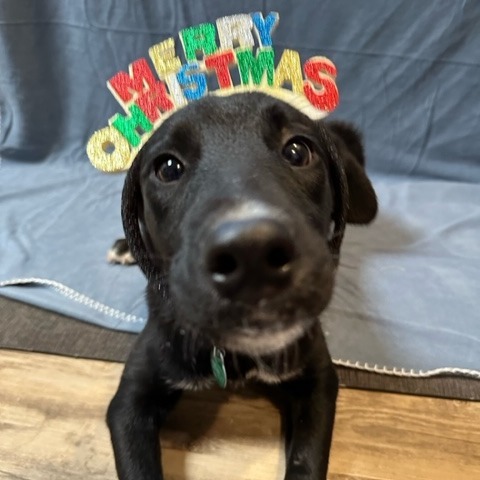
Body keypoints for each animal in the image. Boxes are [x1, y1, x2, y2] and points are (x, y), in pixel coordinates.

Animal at [107, 91, 376, 480]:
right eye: (168, 167)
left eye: (298, 150)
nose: (252, 253)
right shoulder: (129, 403)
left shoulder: (319, 384)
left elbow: (308, 461)